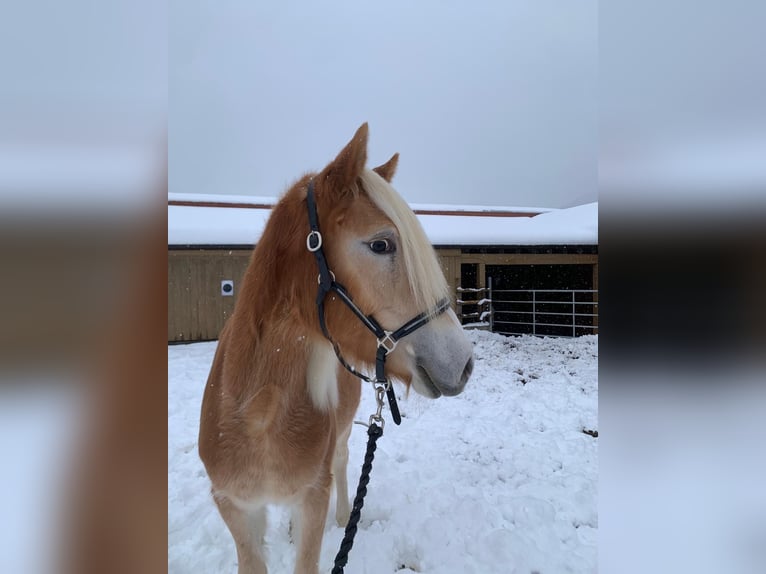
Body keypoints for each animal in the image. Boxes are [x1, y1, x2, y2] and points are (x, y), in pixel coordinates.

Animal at [198, 125, 474, 574]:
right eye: (381, 245)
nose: (464, 362)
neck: (259, 415)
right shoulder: (235, 509)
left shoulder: (313, 497)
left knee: (344, 460)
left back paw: (345, 515)